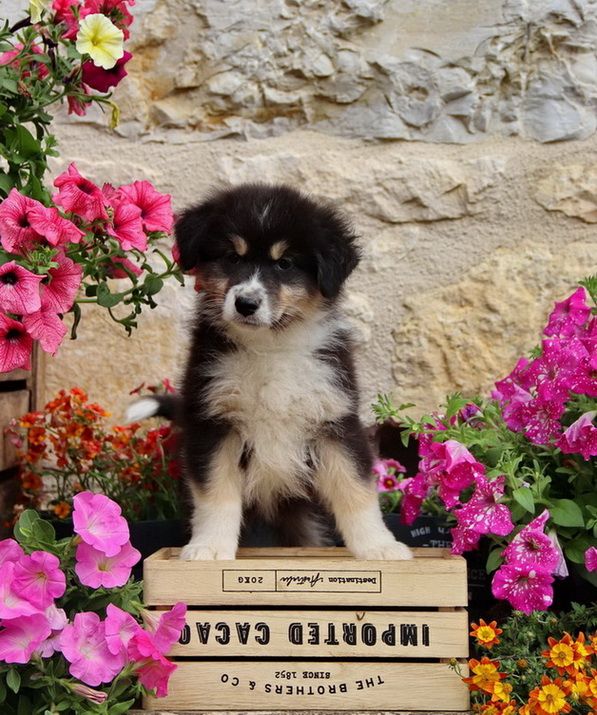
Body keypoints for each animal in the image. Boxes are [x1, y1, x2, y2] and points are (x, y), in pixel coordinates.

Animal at [130, 183, 412, 561]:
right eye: (233, 258)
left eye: (285, 263)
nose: (246, 304)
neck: (270, 345)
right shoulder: (214, 423)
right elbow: (216, 494)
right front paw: (209, 548)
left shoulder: (335, 419)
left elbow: (356, 489)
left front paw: (379, 547)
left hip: (305, 518)